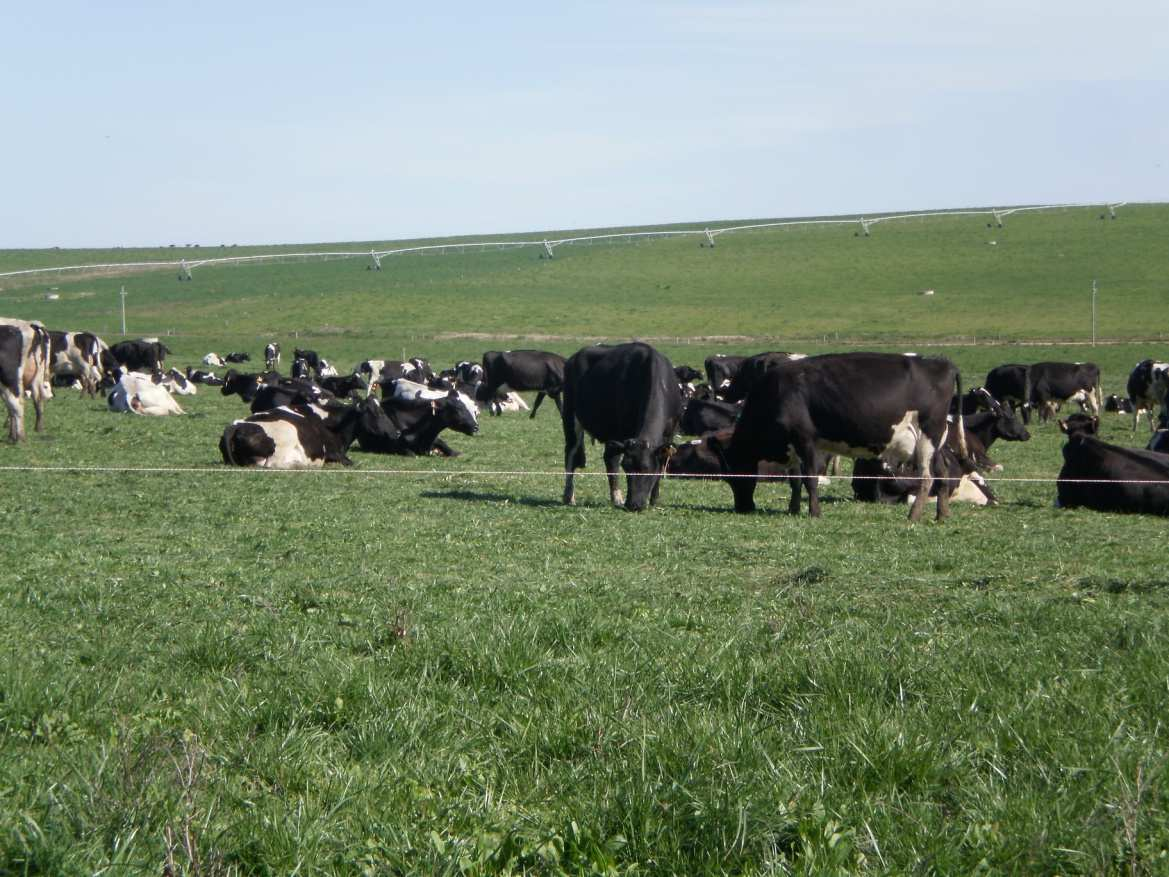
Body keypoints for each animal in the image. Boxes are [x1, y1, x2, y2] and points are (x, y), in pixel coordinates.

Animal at [558, 339, 682, 512]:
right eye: (627, 468)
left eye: (646, 468)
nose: (633, 505)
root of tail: (574, 357)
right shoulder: (623, 430)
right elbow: (616, 463)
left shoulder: (670, 432)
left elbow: (662, 464)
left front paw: (655, 500)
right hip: (571, 416)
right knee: (572, 453)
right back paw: (570, 496)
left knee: (608, 458)